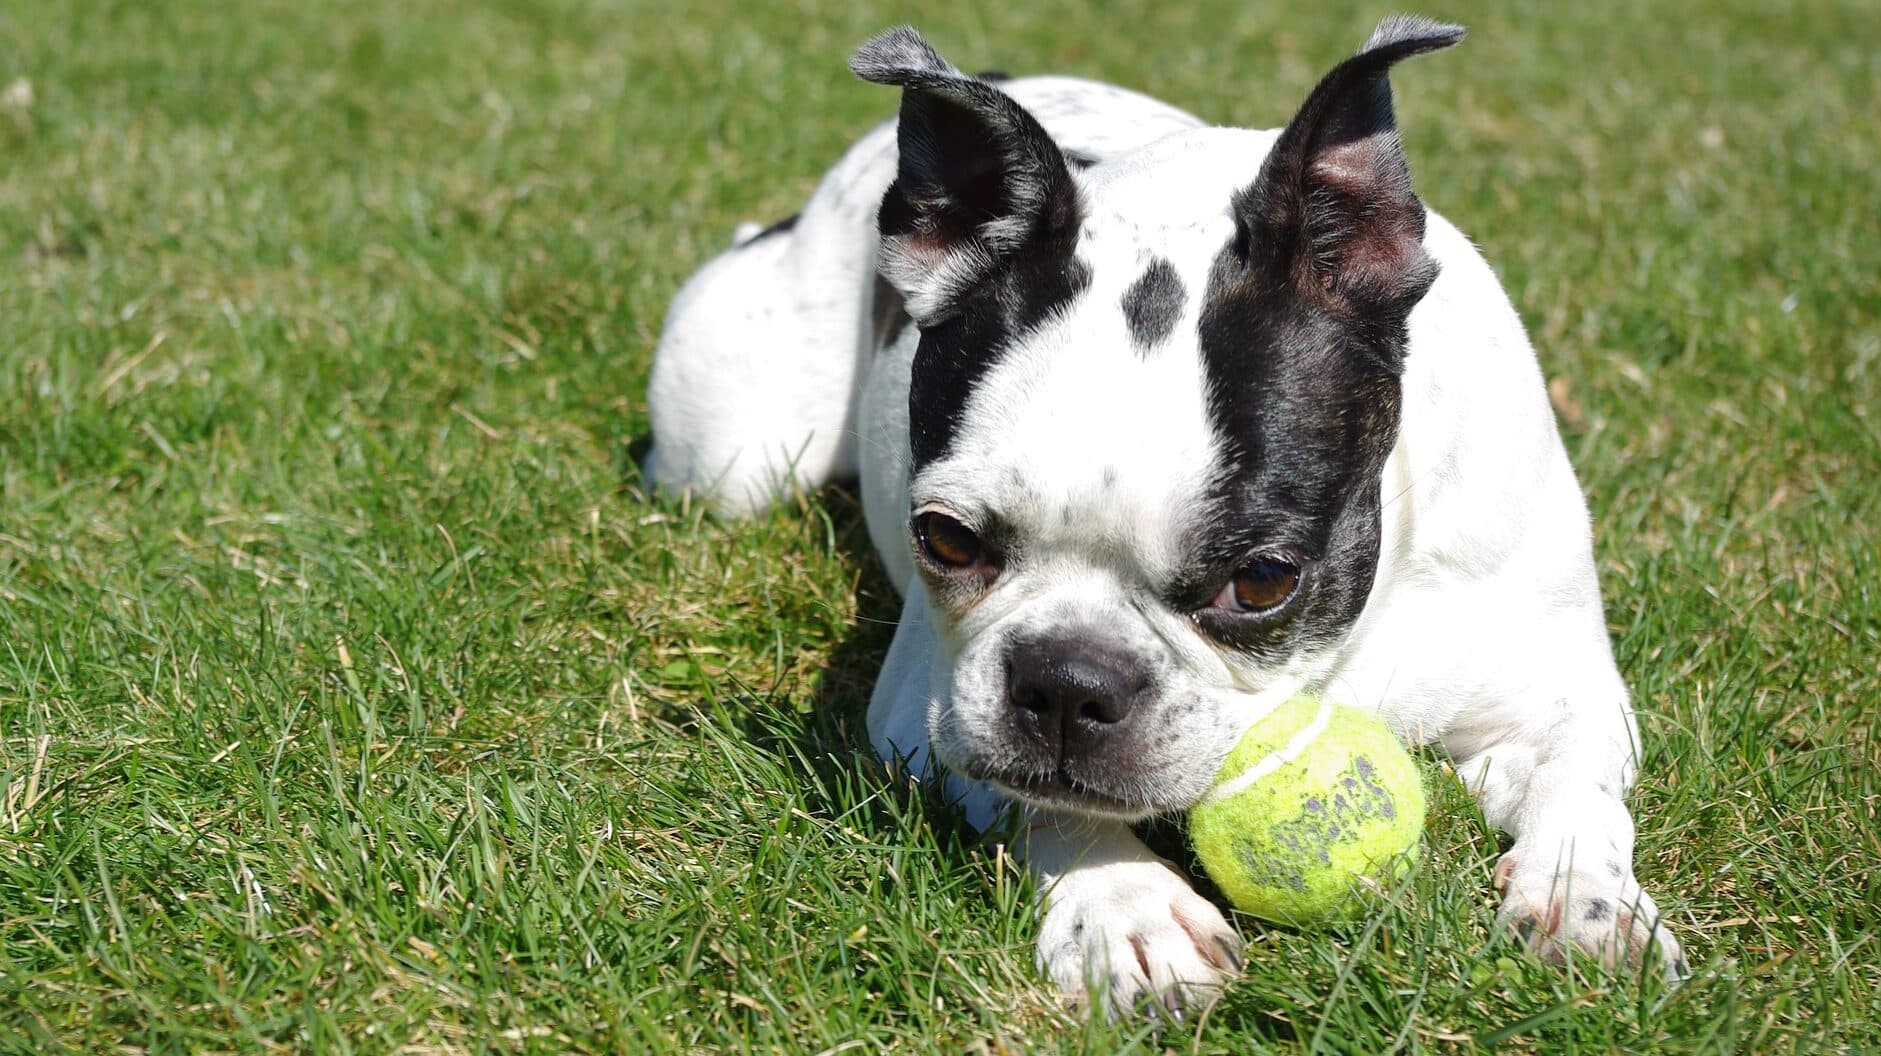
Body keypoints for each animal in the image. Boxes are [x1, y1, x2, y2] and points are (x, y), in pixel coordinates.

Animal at [647, 16, 1692, 1016]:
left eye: (1262, 579)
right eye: (944, 537)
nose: (1066, 681)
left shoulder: (1559, 693)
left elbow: (1577, 787)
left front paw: (1583, 902)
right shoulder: (927, 712)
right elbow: (1045, 800)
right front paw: (1127, 908)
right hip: (735, 458)